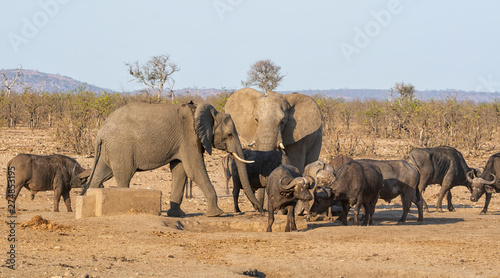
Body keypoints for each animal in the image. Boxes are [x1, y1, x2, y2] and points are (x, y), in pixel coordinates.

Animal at [81, 102, 262, 217]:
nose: (260, 209)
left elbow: (180, 171)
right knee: (124, 175)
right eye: (230, 134)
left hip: (109, 149)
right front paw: (217, 214)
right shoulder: (190, 137)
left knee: (101, 174)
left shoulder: (182, 143)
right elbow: (194, 170)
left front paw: (176, 215)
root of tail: (100, 131)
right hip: (121, 147)